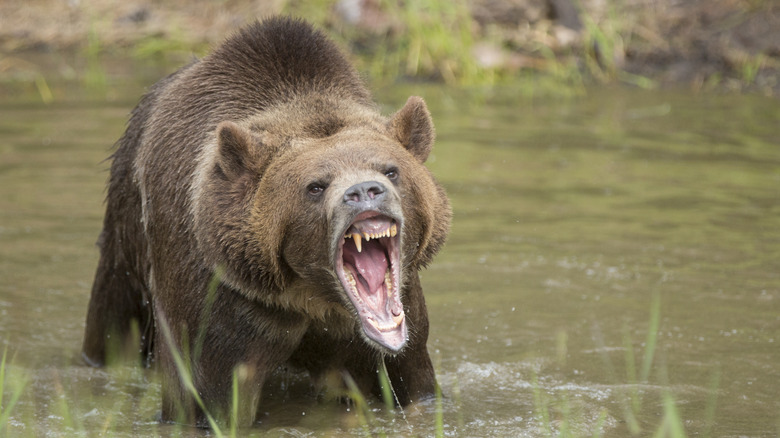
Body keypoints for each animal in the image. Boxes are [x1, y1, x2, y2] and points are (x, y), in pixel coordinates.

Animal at [82, 17, 450, 428]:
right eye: (315, 186)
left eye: (391, 170)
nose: (364, 191)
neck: (312, 295)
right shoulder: (225, 302)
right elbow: (207, 396)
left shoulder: (397, 323)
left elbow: (411, 381)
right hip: (127, 233)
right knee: (114, 319)